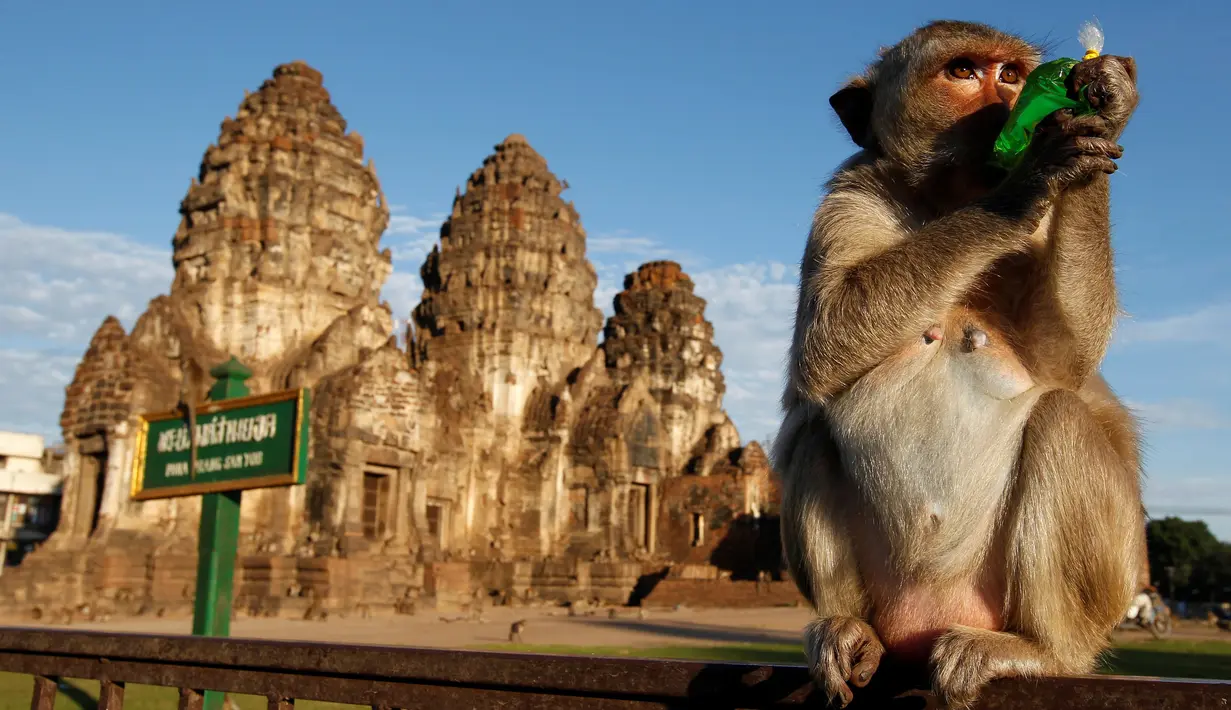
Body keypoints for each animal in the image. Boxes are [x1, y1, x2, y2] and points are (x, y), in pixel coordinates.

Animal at [771, 20, 1144, 709]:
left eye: (1011, 75)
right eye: (965, 73)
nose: (1006, 102)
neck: (945, 200)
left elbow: (1065, 361)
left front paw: (1103, 107)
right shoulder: (849, 196)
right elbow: (824, 344)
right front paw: (1025, 184)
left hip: (1094, 593)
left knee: (1060, 418)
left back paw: (1040, 651)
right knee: (814, 431)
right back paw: (848, 630)